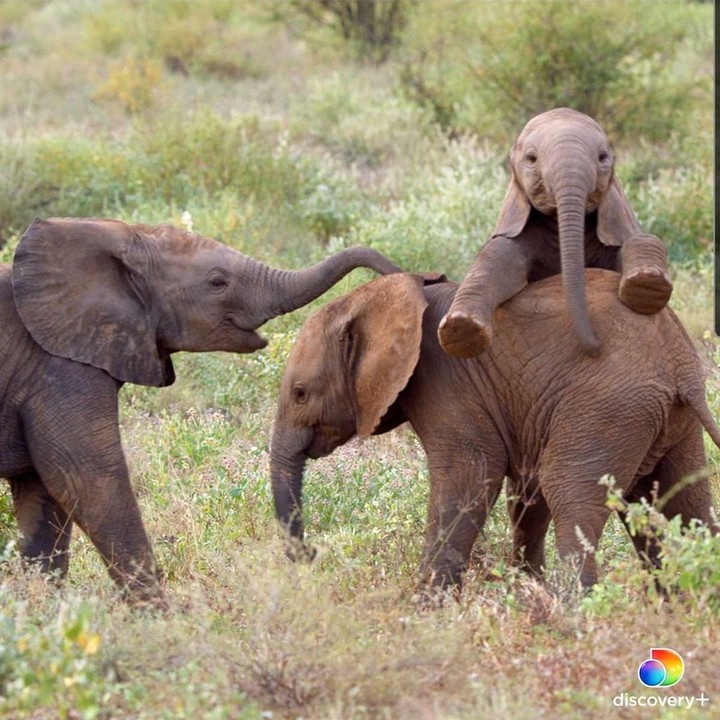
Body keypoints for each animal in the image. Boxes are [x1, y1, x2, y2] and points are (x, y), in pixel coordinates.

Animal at [0, 216, 401, 604]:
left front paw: (41, 609)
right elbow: (88, 479)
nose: (397, 272)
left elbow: (43, 498)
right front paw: (163, 616)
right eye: (217, 282)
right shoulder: (60, 370)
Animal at [270, 270, 719, 595]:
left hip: (609, 406)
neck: (380, 295)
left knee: (570, 491)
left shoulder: (445, 385)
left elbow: (470, 478)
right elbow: (524, 492)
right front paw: (524, 587)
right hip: (661, 418)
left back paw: (574, 613)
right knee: (682, 499)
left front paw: (425, 608)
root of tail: (678, 356)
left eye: (300, 393)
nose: (311, 555)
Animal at [438, 107, 672, 359]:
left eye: (603, 157)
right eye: (531, 159)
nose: (597, 345)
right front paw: (461, 329)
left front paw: (647, 285)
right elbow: (498, 254)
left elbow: (641, 240)